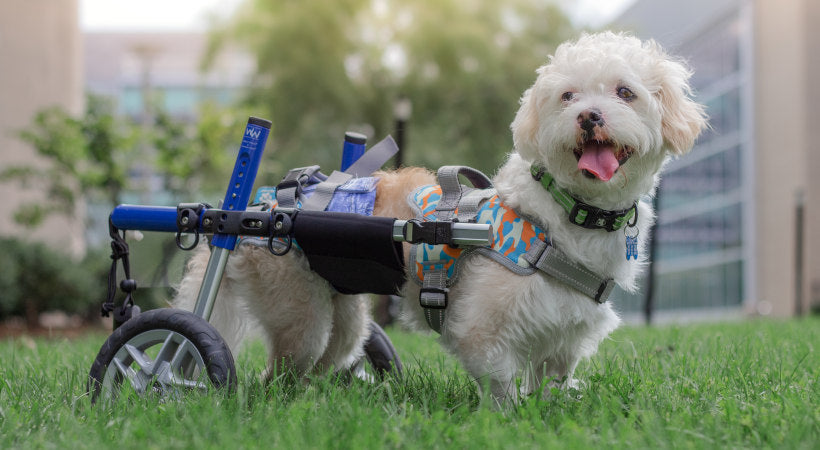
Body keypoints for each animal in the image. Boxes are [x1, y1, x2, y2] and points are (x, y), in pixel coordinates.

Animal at [171, 32, 704, 404]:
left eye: (625, 92)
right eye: (568, 96)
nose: (589, 116)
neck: (569, 214)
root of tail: (255, 208)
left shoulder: (564, 337)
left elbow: (552, 382)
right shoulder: (483, 331)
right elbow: (503, 388)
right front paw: (508, 420)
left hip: (341, 322)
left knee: (320, 367)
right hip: (300, 318)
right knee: (274, 378)